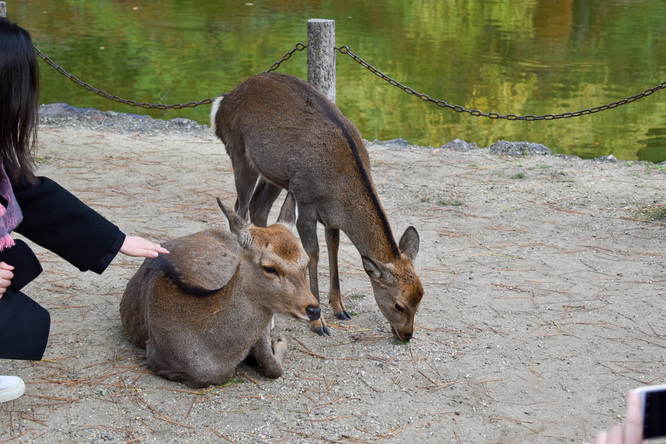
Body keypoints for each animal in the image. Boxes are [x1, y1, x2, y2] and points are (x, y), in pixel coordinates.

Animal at [119, 192, 320, 388]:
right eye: (269, 268)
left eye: (306, 262)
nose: (314, 309)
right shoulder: (157, 359)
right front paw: (279, 341)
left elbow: (273, 367)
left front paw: (279, 341)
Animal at [210, 74, 422, 342]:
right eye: (399, 305)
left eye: (420, 298)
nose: (407, 335)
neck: (339, 190)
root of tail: (223, 102)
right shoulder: (306, 203)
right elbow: (313, 254)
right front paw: (319, 322)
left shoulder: (331, 217)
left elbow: (334, 248)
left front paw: (340, 308)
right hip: (239, 154)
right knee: (241, 206)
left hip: (275, 175)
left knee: (259, 205)